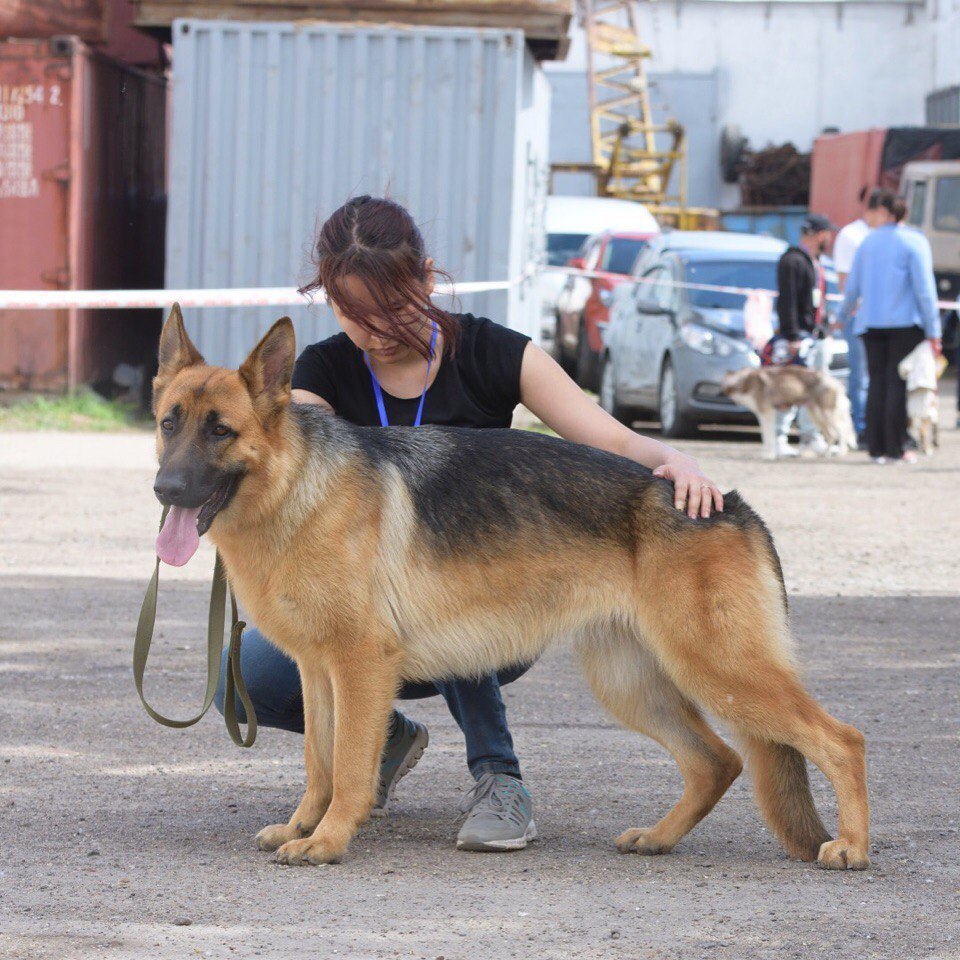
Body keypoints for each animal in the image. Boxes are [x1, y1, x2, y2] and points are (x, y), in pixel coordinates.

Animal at [720, 366, 856, 460]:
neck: (744, 381)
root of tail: (836, 382)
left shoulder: (766, 414)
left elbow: (767, 437)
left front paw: (768, 456)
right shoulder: (766, 416)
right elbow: (768, 437)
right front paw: (768, 454)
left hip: (827, 415)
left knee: (841, 432)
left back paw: (840, 453)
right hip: (816, 415)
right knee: (831, 435)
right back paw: (826, 454)